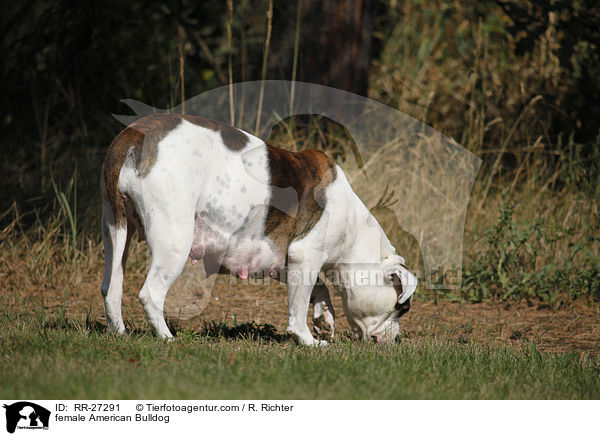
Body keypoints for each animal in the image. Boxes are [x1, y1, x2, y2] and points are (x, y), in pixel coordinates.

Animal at [101, 114, 418, 346]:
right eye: (401, 308)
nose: (397, 339)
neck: (354, 233)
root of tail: (134, 135)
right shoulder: (306, 255)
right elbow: (298, 307)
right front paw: (308, 340)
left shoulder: (283, 260)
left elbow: (317, 288)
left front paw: (324, 317)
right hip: (174, 241)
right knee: (150, 294)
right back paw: (166, 337)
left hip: (116, 230)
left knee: (111, 286)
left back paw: (119, 332)